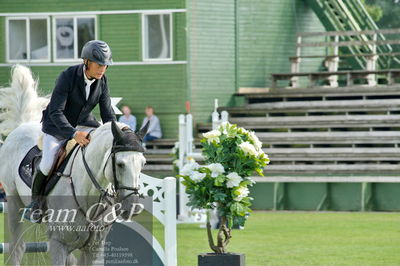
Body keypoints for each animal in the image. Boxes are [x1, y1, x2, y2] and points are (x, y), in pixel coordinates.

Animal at [0, 65, 148, 266]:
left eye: (143, 163)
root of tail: (21, 127)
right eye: (120, 164)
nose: (132, 207)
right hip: (13, 201)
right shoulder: (59, 244)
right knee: (17, 248)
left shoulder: (94, 248)